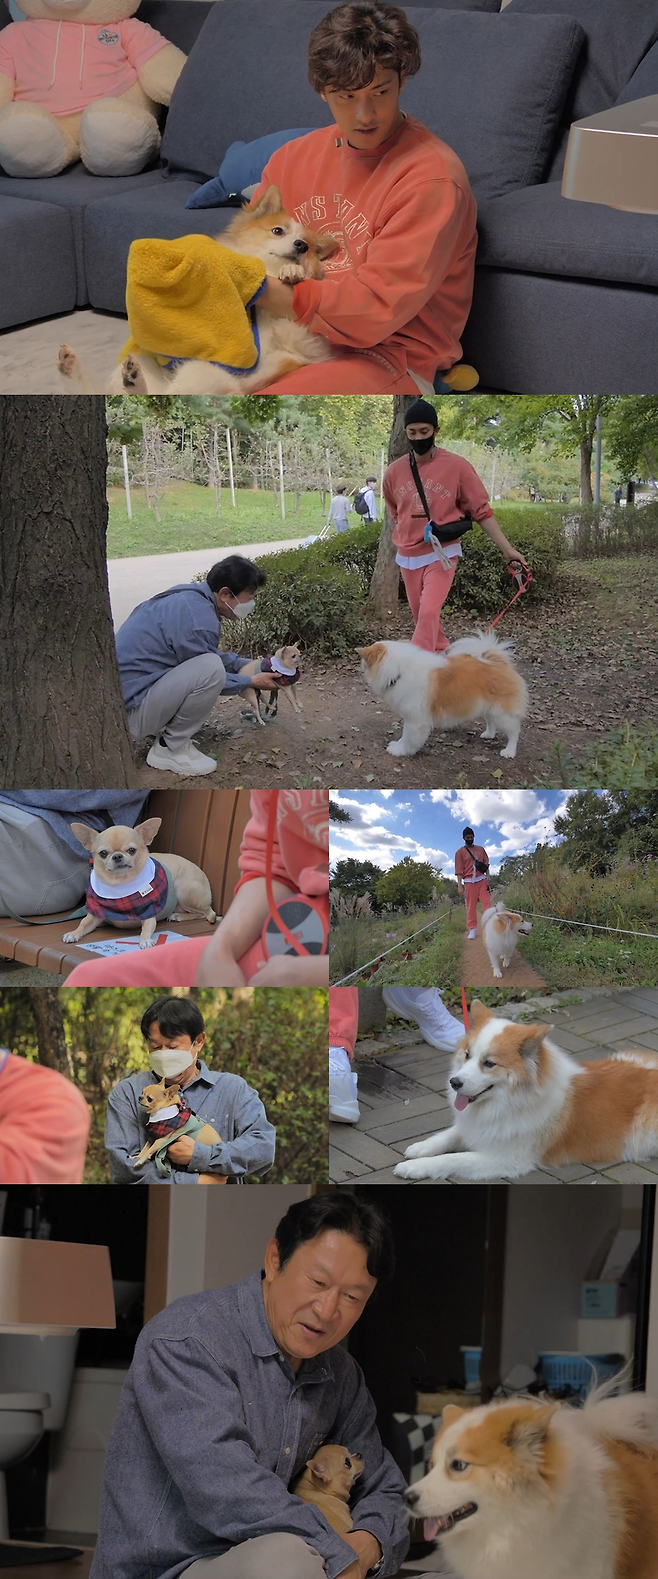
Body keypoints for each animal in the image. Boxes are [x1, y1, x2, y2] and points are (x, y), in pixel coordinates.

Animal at [59, 186, 337, 394]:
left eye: (308, 247)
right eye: (278, 231)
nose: (300, 245)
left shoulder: (307, 344)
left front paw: (293, 272)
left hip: (200, 371)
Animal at [353, 631, 527, 761]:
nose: (361, 668)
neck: (399, 671)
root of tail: (498, 661)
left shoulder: (416, 720)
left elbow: (408, 738)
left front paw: (400, 751)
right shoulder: (410, 718)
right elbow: (403, 736)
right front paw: (397, 745)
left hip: (502, 713)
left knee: (514, 731)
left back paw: (509, 751)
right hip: (488, 707)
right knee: (491, 722)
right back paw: (488, 735)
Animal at [394, 1004, 658, 1181]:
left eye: (489, 1063)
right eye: (467, 1055)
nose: (454, 1082)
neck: (510, 1101)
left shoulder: (506, 1159)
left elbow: (453, 1159)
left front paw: (415, 1167)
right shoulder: (479, 1126)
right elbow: (450, 1134)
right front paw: (420, 1148)